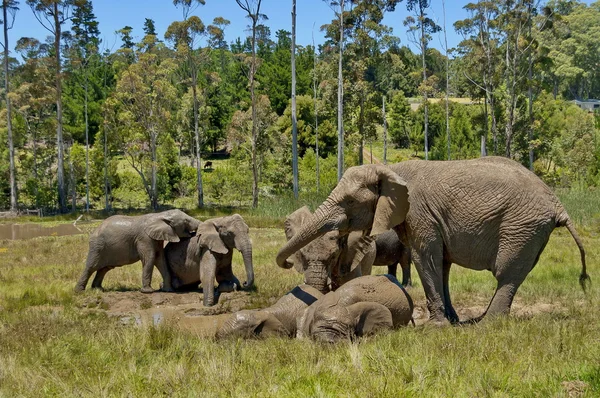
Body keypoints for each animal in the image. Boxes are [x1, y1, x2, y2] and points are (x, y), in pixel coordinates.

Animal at [74, 210, 202, 294]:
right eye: (186, 221)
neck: (160, 215)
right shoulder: (144, 238)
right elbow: (150, 258)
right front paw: (148, 292)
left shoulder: (156, 238)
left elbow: (160, 260)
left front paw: (169, 290)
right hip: (97, 246)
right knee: (91, 266)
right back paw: (79, 291)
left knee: (104, 268)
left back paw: (98, 289)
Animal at [278, 157, 592, 324]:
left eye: (350, 202)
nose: (286, 264)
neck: (390, 169)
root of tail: (558, 204)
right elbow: (441, 263)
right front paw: (450, 321)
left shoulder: (419, 212)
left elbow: (425, 258)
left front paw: (437, 326)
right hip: (531, 229)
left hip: (521, 227)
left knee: (507, 273)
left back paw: (486, 323)